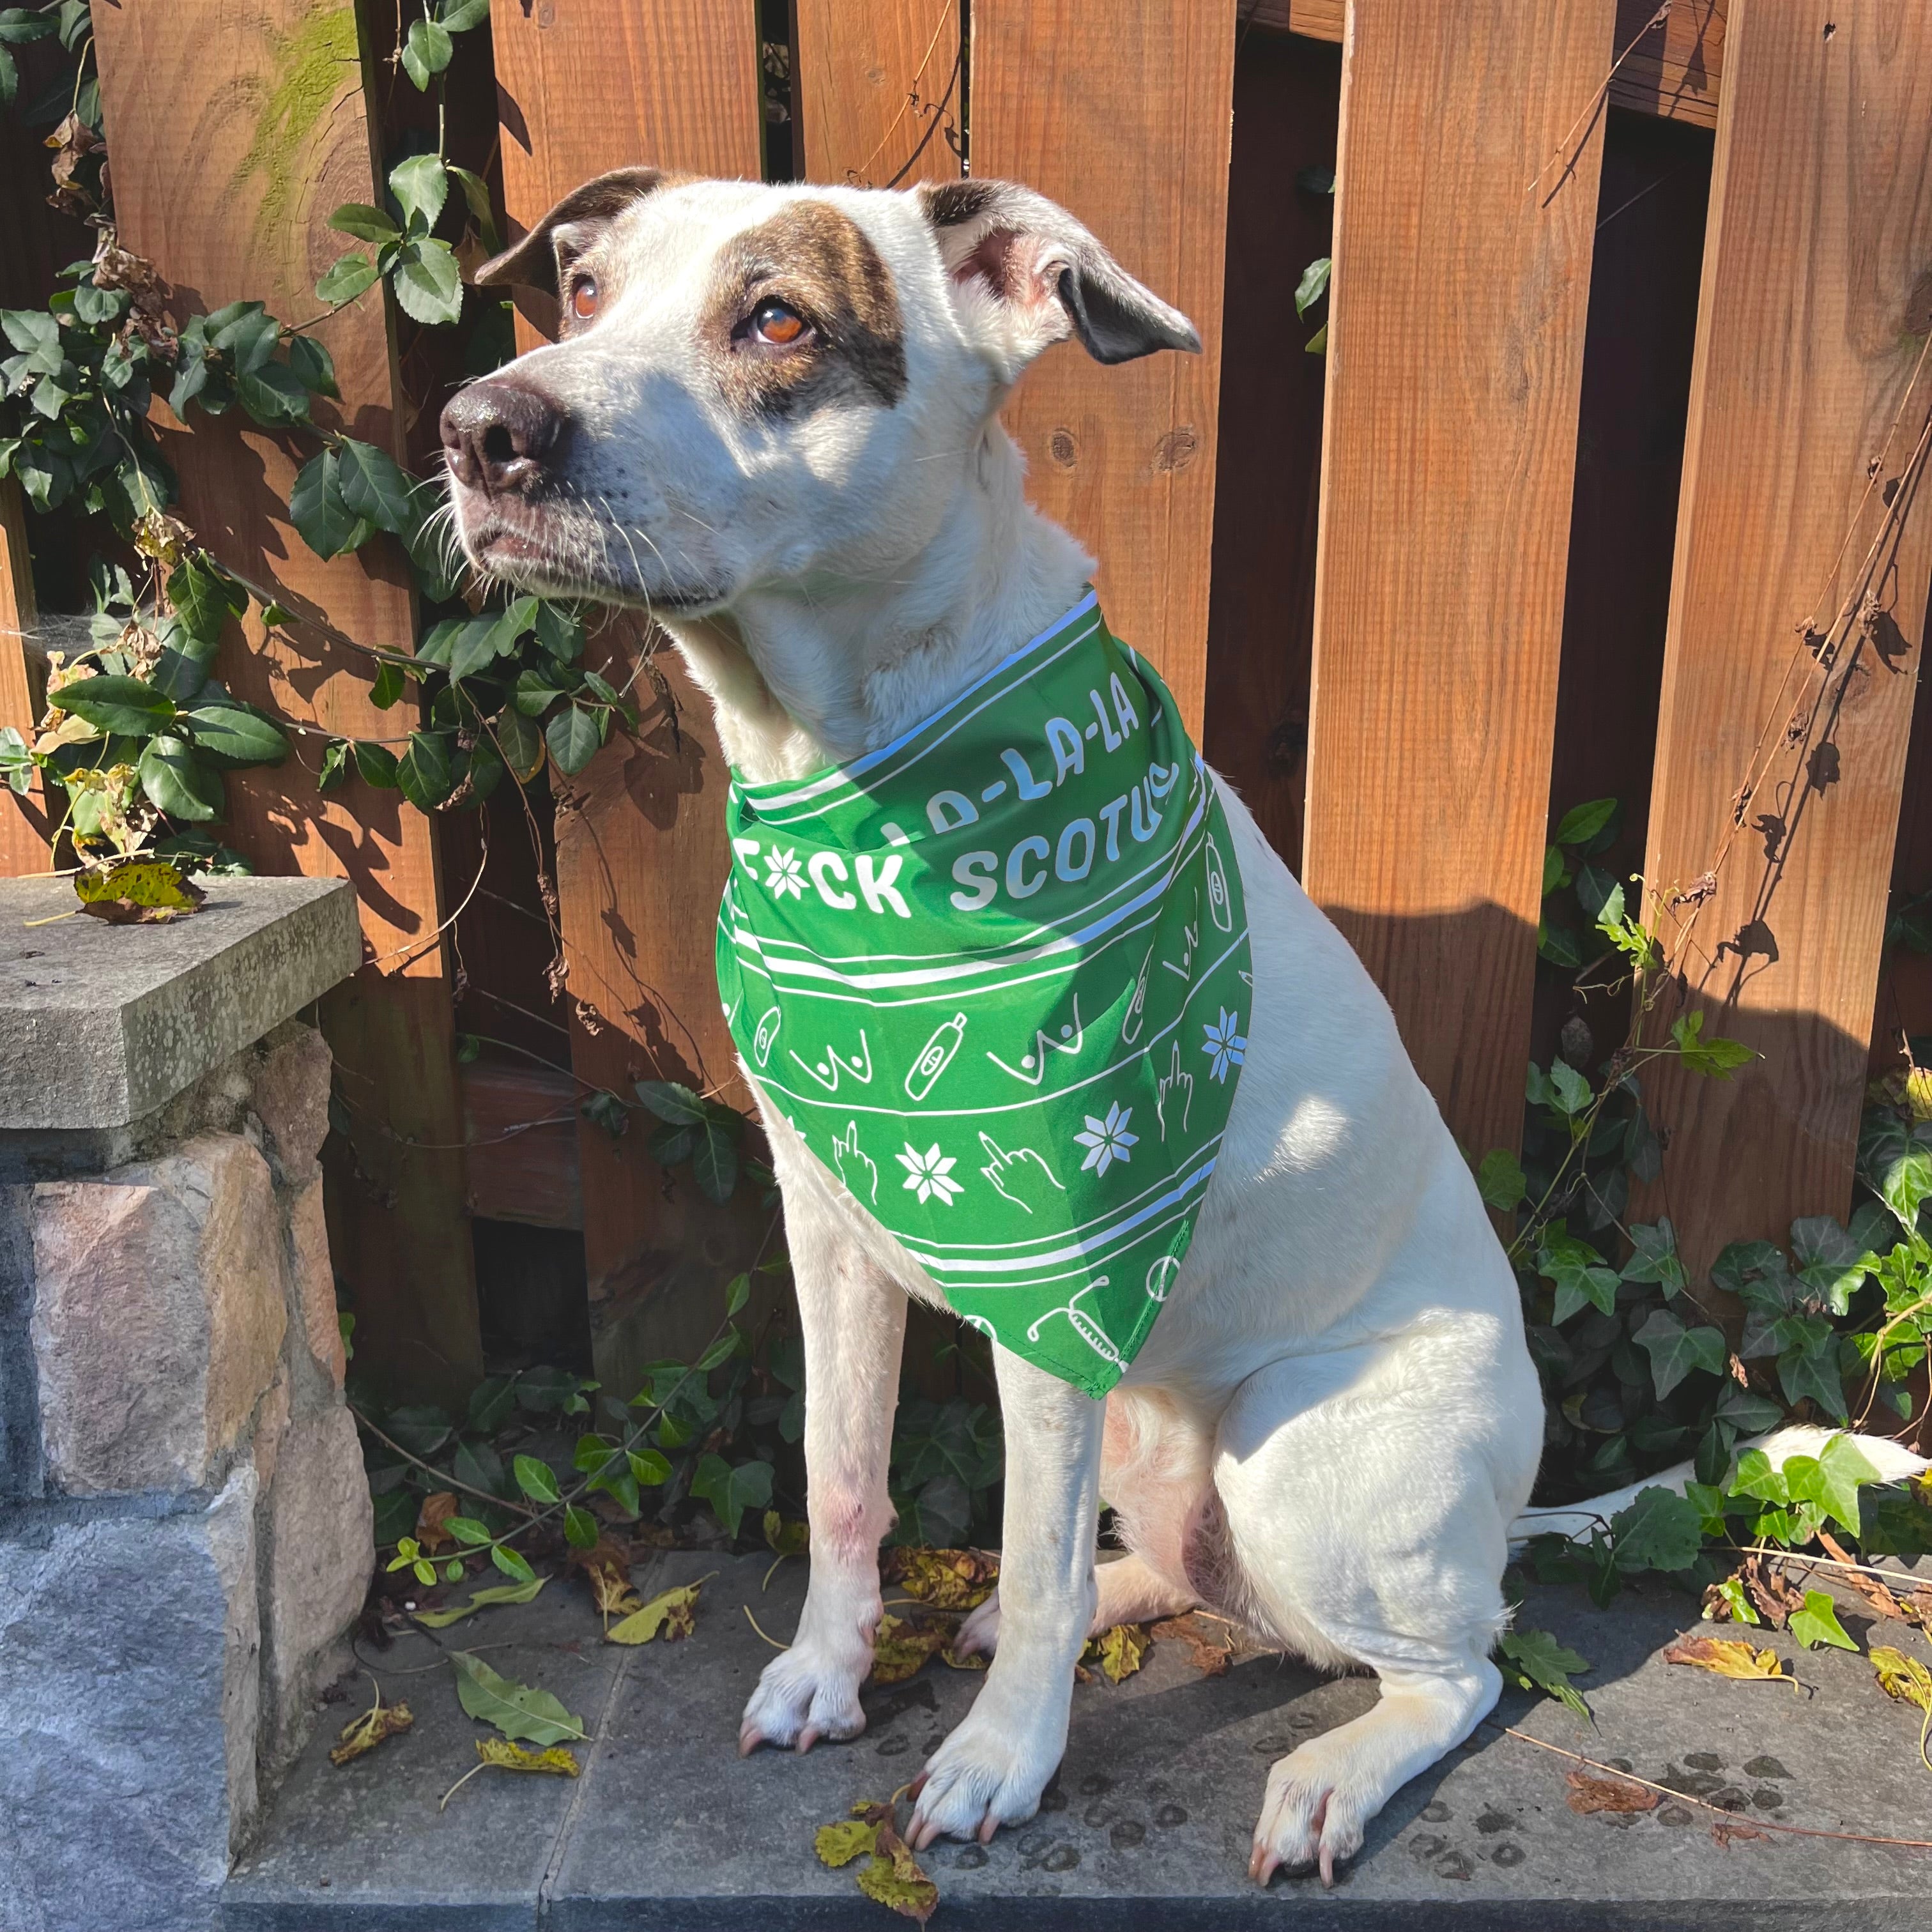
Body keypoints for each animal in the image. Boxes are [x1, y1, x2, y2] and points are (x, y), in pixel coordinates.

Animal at [444, 174, 1924, 1878]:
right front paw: (829, 1670)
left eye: (778, 320)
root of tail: (1517, 1501)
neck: (869, 782)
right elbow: (840, 1479)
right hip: (1162, 1445)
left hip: (1295, 1446)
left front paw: (1001, 1761)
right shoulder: (827, 1230)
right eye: (585, 290)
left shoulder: (1057, 1287)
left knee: (1458, 1667)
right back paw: (1119, 1602)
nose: (482, 428)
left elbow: (1028, 1559)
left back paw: (1327, 1776)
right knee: (1204, 1580)